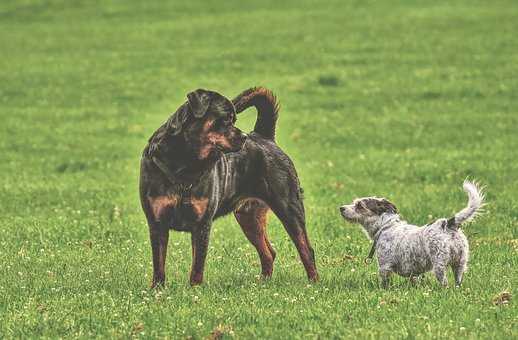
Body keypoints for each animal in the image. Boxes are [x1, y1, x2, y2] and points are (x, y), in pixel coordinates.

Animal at [142, 87, 318, 286]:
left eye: (234, 120)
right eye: (226, 119)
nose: (244, 137)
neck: (184, 163)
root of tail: (264, 136)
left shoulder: (202, 225)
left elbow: (197, 266)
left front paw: (194, 288)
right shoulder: (157, 223)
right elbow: (159, 264)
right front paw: (157, 289)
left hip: (289, 207)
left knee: (306, 249)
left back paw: (313, 283)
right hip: (249, 217)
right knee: (268, 253)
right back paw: (263, 282)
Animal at [344, 181, 486, 286]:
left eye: (359, 205)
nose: (341, 208)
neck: (386, 227)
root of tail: (449, 223)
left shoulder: (385, 266)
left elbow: (384, 283)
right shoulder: (413, 272)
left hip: (439, 264)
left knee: (444, 283)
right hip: (460, 264)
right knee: (458, 282)